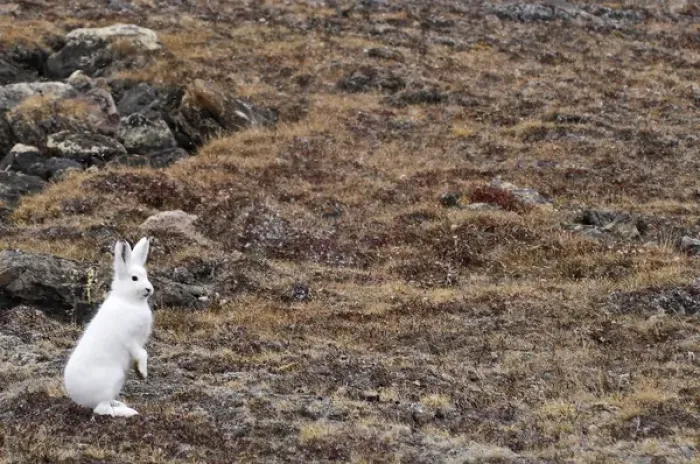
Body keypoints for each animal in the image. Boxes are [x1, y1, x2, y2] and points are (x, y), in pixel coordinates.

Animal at [64, 237, 154, 418]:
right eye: (134, 278)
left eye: (146, 276)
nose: (149, 289)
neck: (129, 300)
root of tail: (79, 399)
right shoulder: (130, 339)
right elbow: (142, 353)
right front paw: (142, 373)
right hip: (113, 379)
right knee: (102, 410)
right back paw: (128, 412)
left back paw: (119, 404)